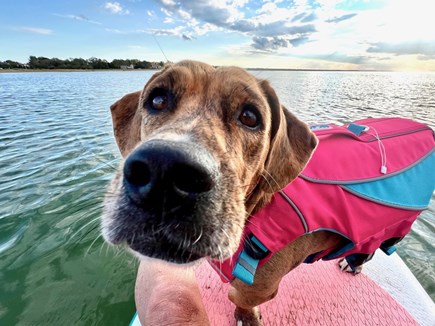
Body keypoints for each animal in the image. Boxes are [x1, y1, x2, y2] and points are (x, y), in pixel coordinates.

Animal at [100, 60, 434, 324]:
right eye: (157, 99)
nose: (165, 172)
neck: (254, 213)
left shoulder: (260, 286)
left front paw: (246, 316)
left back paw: (353, 262)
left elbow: (240, 297)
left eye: (250, 117)